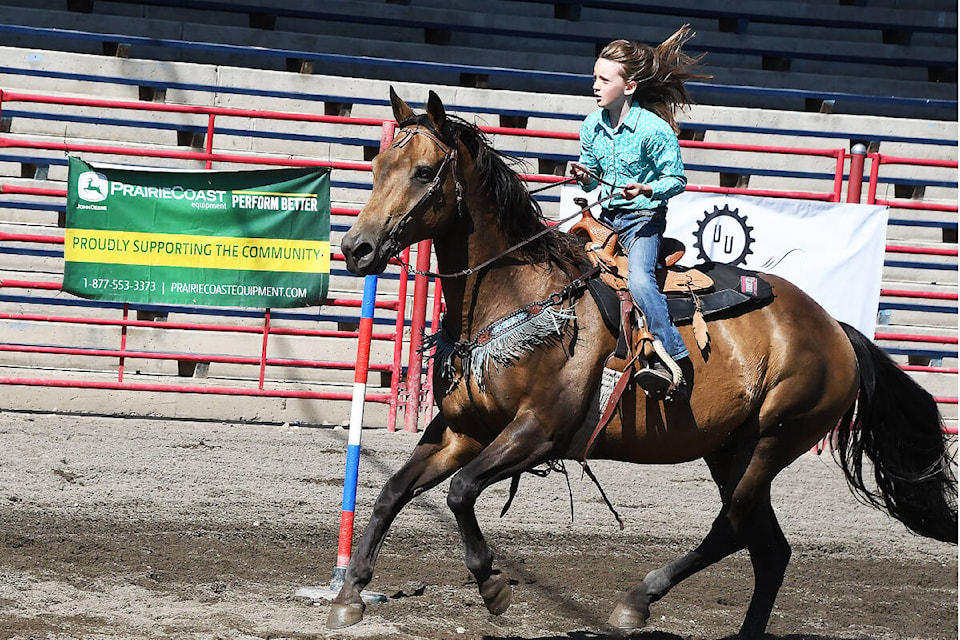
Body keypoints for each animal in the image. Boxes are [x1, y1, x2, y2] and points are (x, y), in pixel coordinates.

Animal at [328, 89, 952, 636]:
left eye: (424, 172)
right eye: (379, 164)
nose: (356, 248)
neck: (517, 295)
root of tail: (836, 330)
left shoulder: (539, 432)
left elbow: (459, 493)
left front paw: (493, 586)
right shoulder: (463, 429)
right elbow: (392, 492)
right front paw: (350, 593)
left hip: (771, 440)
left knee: (733, 530)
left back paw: (637, 600)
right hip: (729, 449)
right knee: (769, 550)